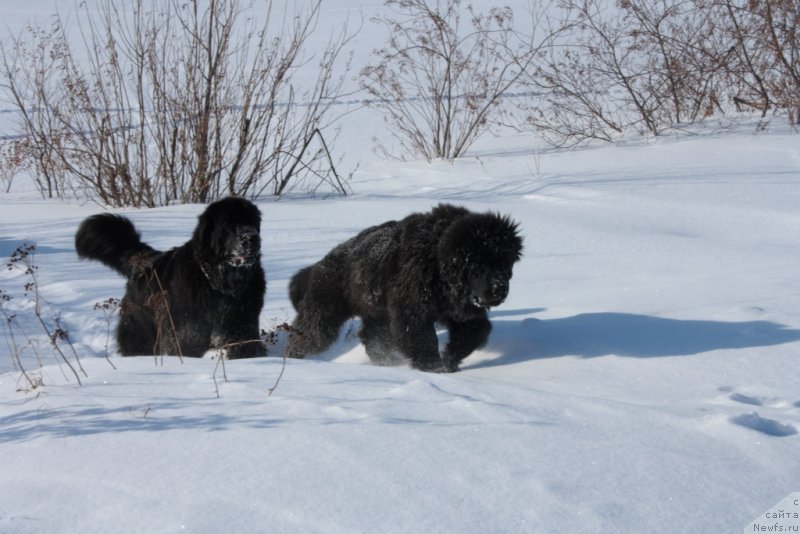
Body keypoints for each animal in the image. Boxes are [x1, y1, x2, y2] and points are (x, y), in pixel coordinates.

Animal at [74, 198, 266, 360]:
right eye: (229, 225)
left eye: (252, 222)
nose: (251, 237)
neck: (219, 282)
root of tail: (142, 261)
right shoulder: (188, 331)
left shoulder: (242, 323)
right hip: (140, 328)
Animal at [288, 203, 524, 374]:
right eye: (479, 265)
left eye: (505, 263)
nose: (499, 288)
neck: (438, 261)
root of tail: (321, 264)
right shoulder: (412, 310)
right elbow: (423, 338)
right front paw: (434, 367)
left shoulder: (460, 312)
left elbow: (475, 332)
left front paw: (450, 359)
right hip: (325, 312)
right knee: (309, 335)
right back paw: (293, 358)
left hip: (378, 314)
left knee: (373, 338)